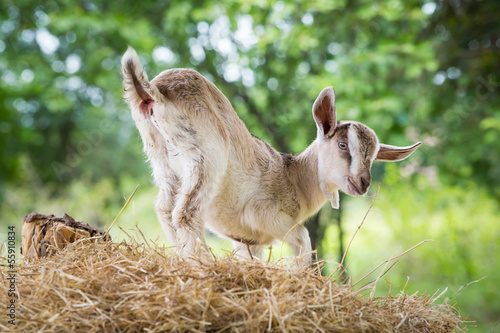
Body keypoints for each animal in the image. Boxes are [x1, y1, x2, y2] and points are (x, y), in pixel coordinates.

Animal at [122, 47, 422, 264]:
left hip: (162, 159)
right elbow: (303, 241)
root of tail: (156, 92)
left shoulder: (246, 241)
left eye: (374, 157)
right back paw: (205, 265)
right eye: (342, 145)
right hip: (207, 155)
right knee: (185, 213)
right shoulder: (269, 215)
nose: (363, 183)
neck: (294, 178)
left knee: (164, 209)